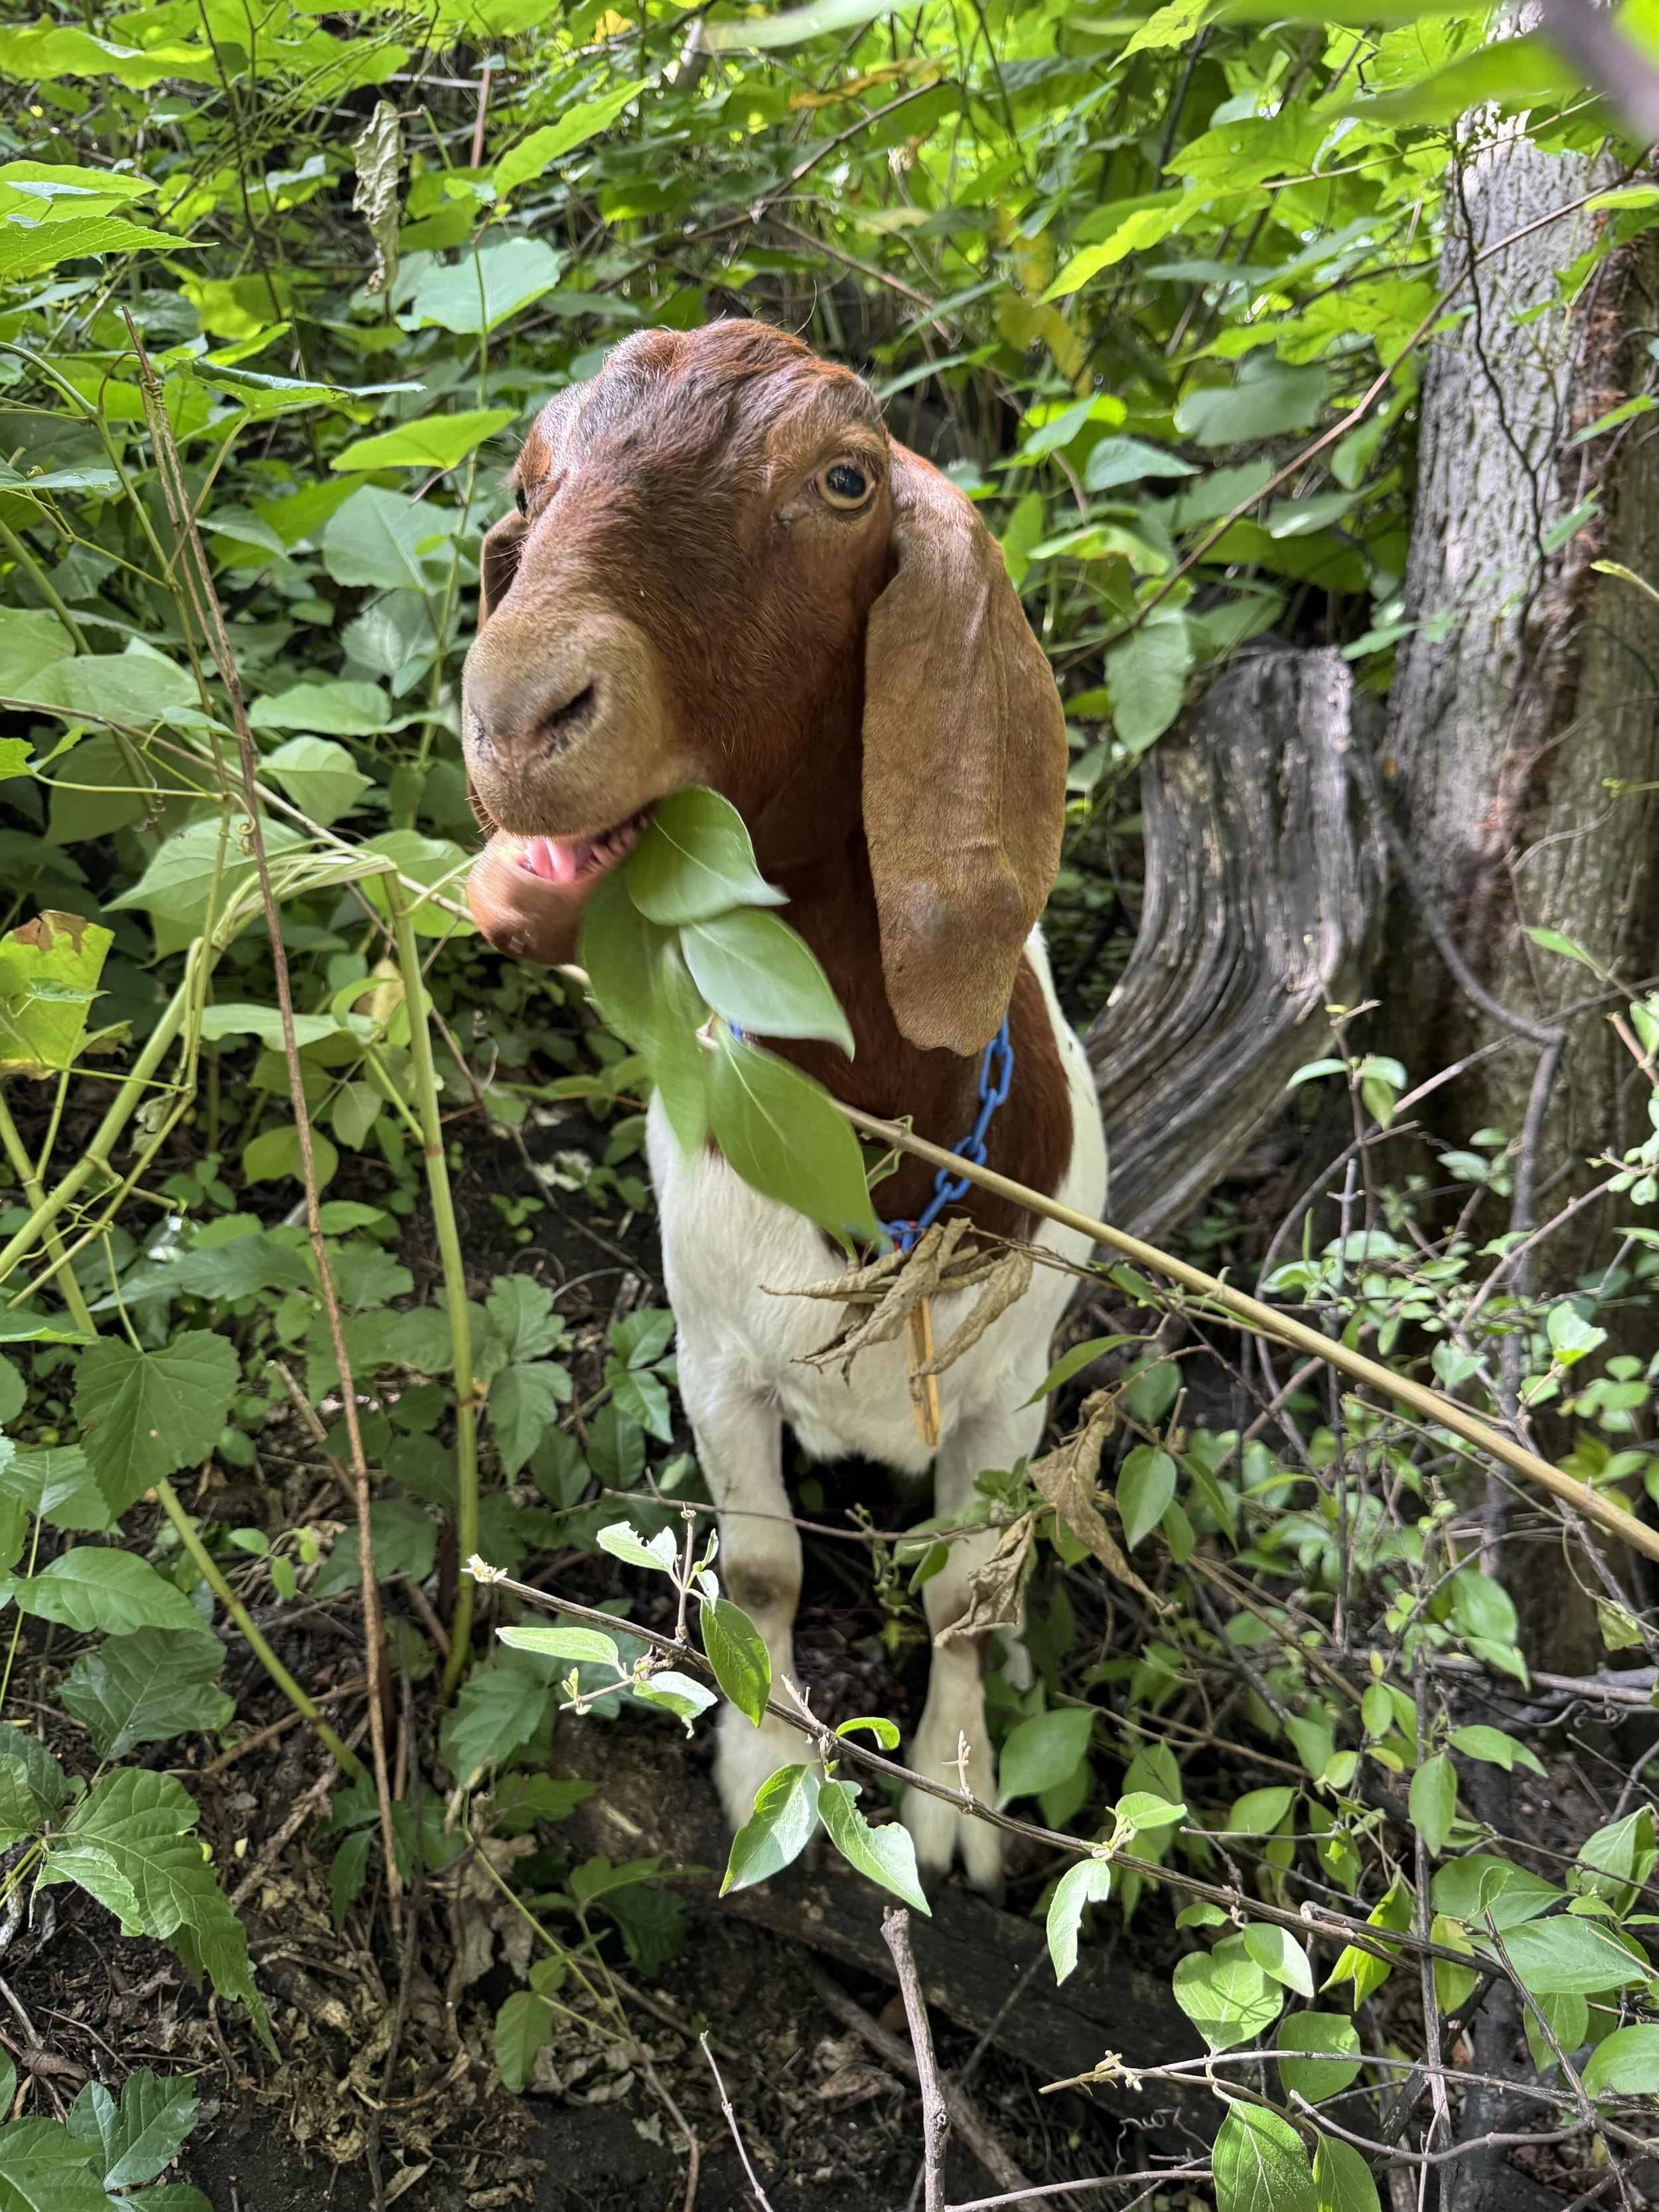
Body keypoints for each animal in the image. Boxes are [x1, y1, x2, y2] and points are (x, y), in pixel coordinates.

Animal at [463, 320, 1107, 1890]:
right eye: (528, 479)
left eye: (843, 481)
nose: (516, 710)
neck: (871, 1154)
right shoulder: (716, 1362)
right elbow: (760, 1564)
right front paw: (764, 1759)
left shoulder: (1004, 1398)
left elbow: (959, 1595)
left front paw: (959, 1789)